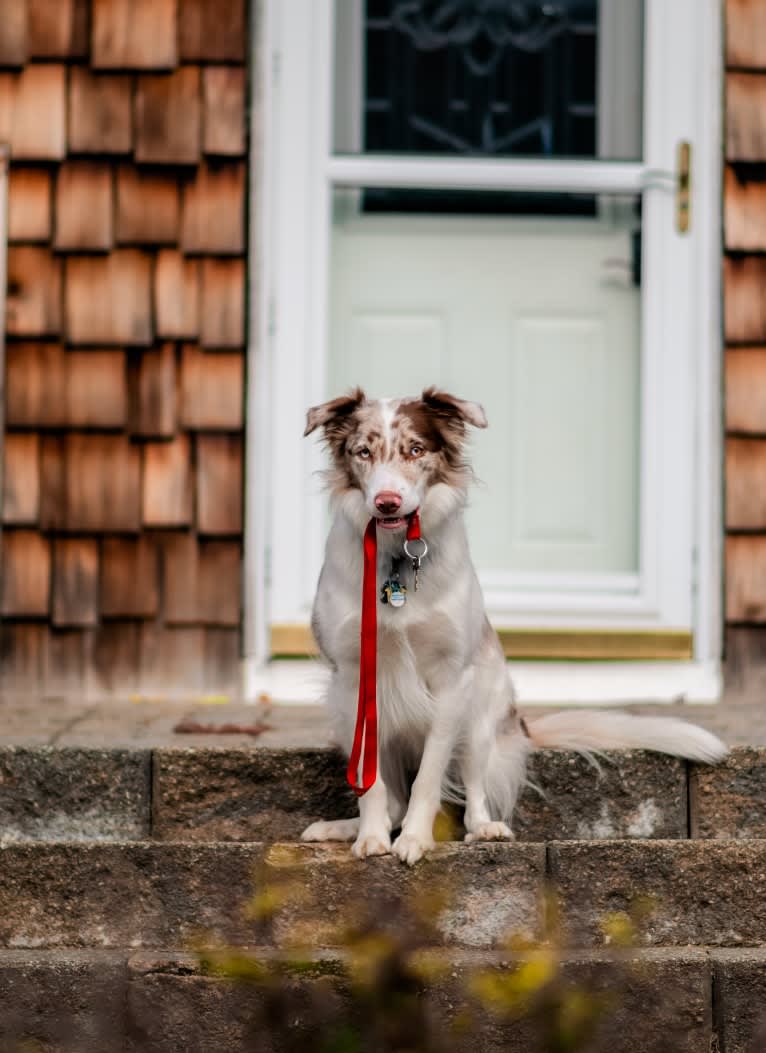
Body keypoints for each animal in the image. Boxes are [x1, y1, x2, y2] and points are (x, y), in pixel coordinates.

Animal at [297, 387, 724, 863]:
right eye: (363, 452)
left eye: (416, 450)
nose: (386, 502)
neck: (395, 560)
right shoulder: (355, 679)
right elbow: (371, 786)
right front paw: (370, 837)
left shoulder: (452, 679)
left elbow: (429, 778)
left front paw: (415, 839)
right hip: (341, 711)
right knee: (392, 800)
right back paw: (341, 827)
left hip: (482, 712)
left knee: (473, 791)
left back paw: (485, 828)